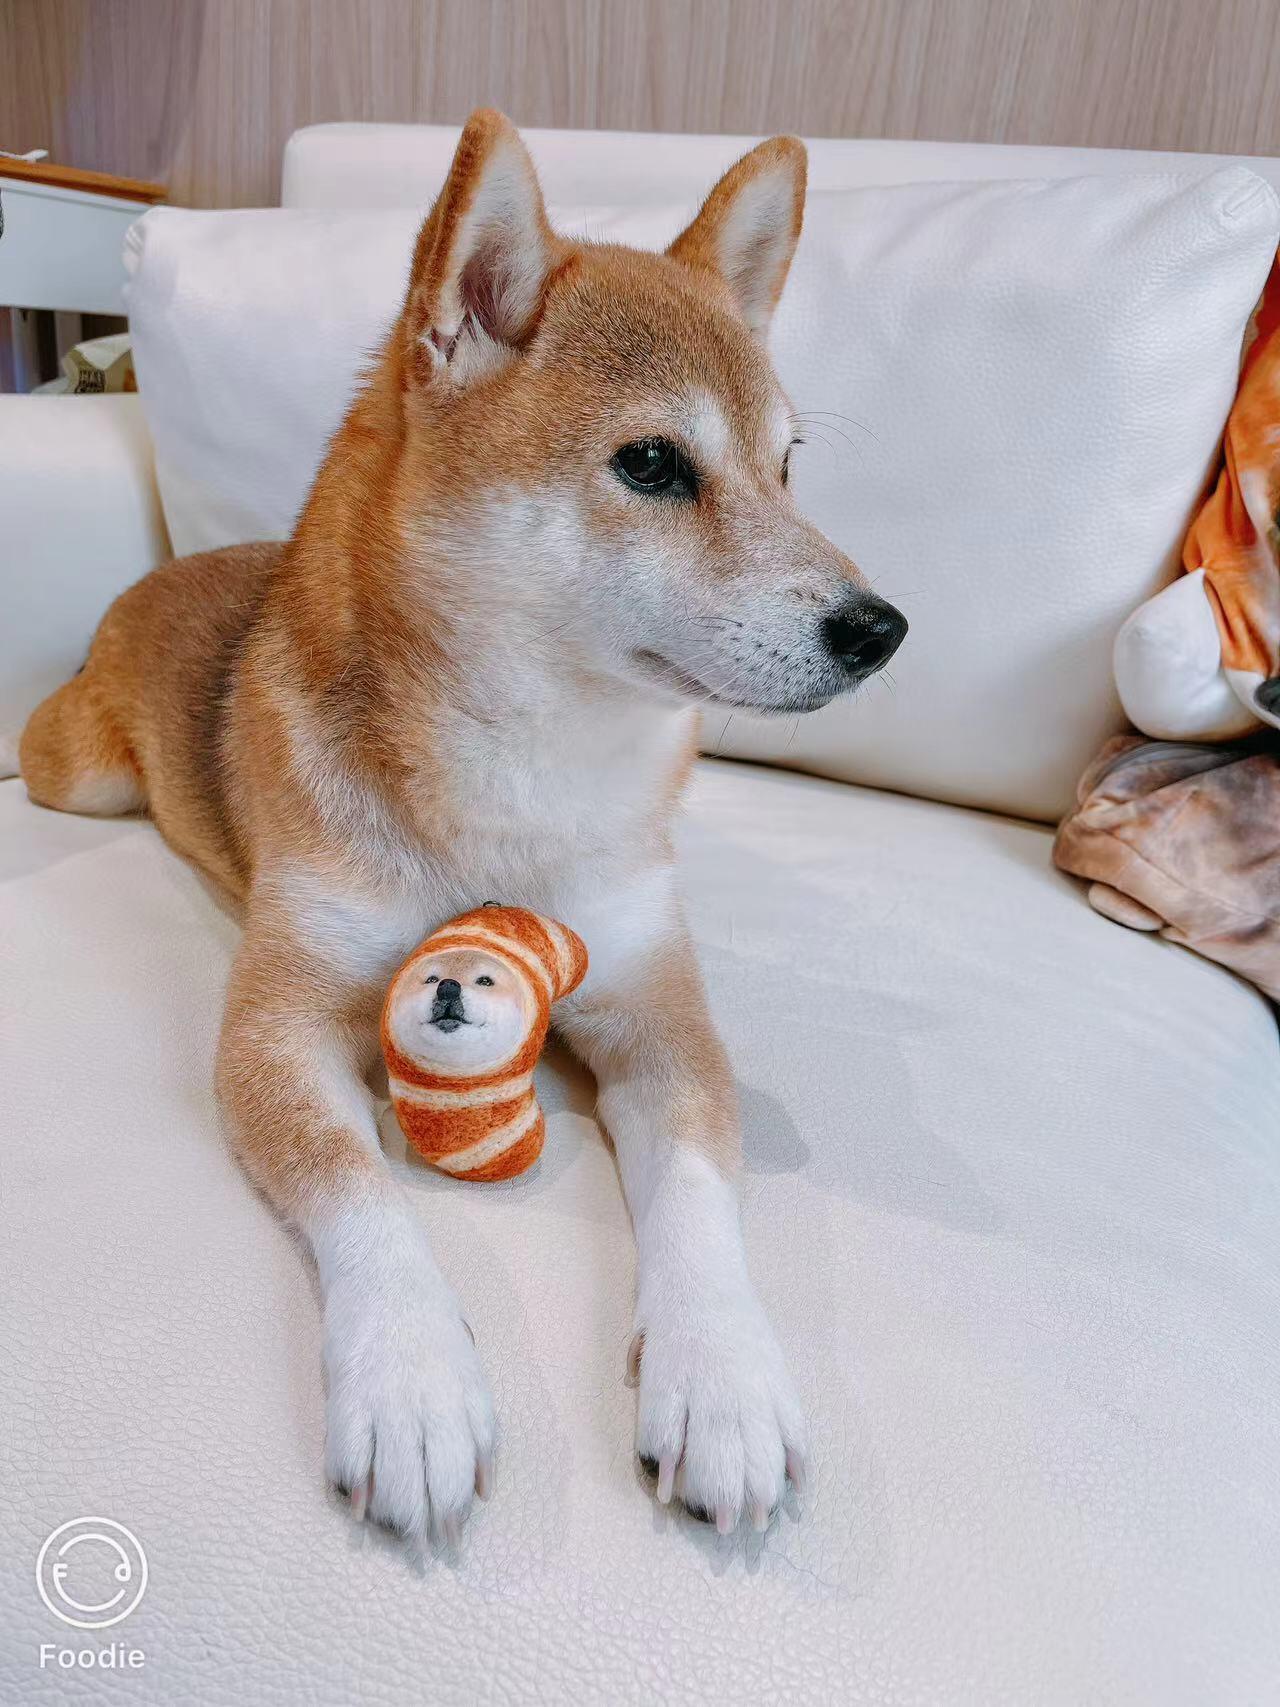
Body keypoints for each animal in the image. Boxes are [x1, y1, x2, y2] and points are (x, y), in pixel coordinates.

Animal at [17, 106, 901, 1549]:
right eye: (651, 463)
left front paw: (719, 1378)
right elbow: (359, 1185)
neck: (522, 793)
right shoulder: (274, 1026)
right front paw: (411, 1381)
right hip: (77, 778)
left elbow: (698, 1193)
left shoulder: (658, 1009)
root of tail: (174, 563)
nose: (882, 629)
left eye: (786, 468)